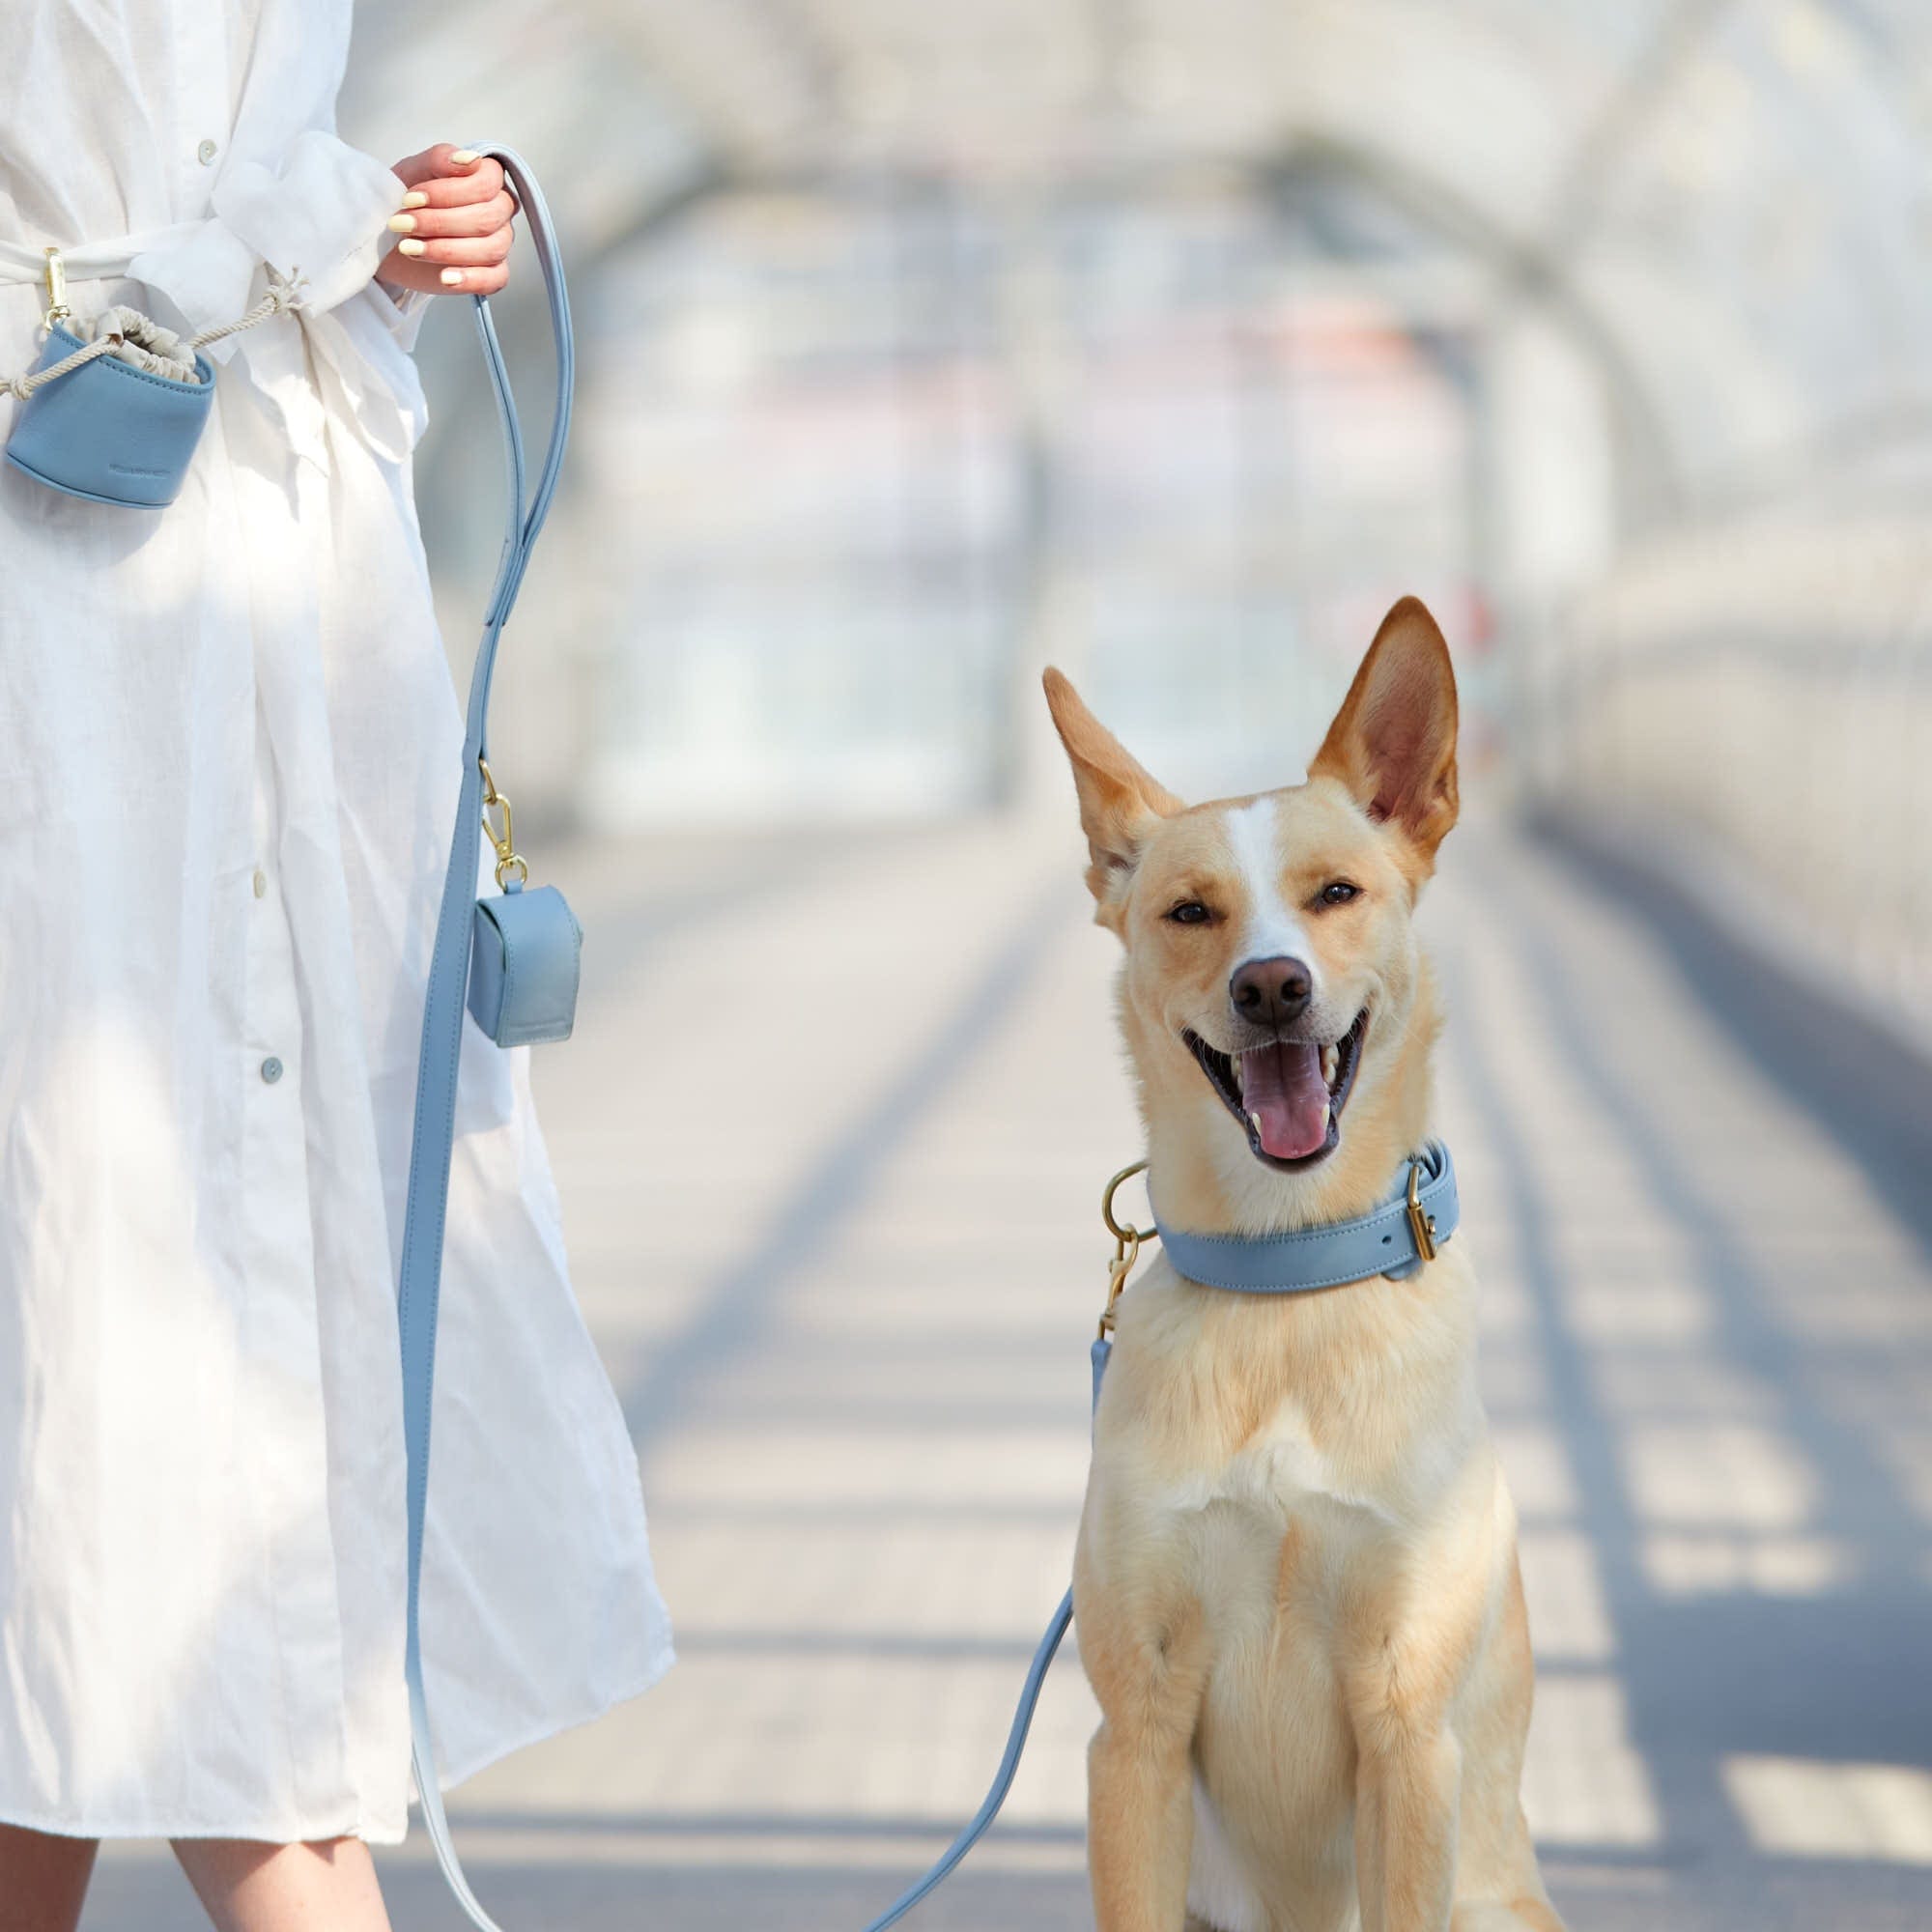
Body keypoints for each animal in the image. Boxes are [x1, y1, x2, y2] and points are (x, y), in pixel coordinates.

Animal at [1051, 603, 1561, 1932]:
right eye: (1189, 912)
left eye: (1334, 893)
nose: (1271, 985)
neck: (1283, 1291)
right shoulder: (1132, 1735)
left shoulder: (1408, 1731)